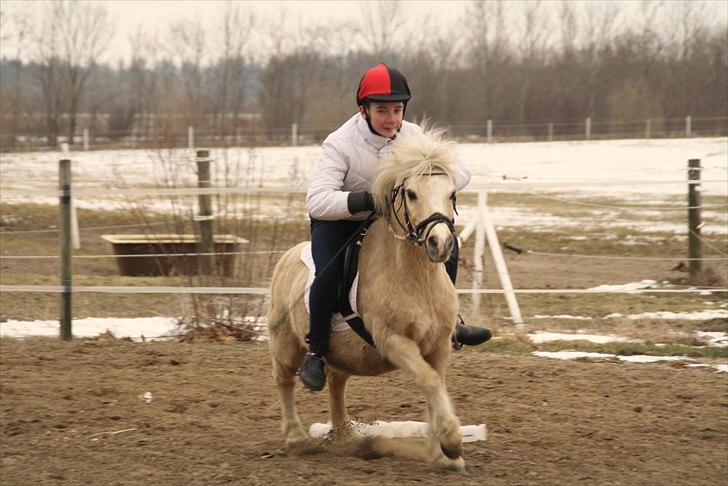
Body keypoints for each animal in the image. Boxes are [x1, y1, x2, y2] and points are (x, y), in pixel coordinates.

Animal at [268, 127, 466, 468]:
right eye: (411, 194)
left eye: (452, 194)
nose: (440, 244)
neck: (414, 277)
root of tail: (287, 257)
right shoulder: (393, 341)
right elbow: (429, 381)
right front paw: (450, 444)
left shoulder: (438, 345)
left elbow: (435, 385)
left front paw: (439, 453)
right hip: (286, 344)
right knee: (285, 380)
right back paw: (296, 438)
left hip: (339, 354)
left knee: (336, 384)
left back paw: (346, 436)